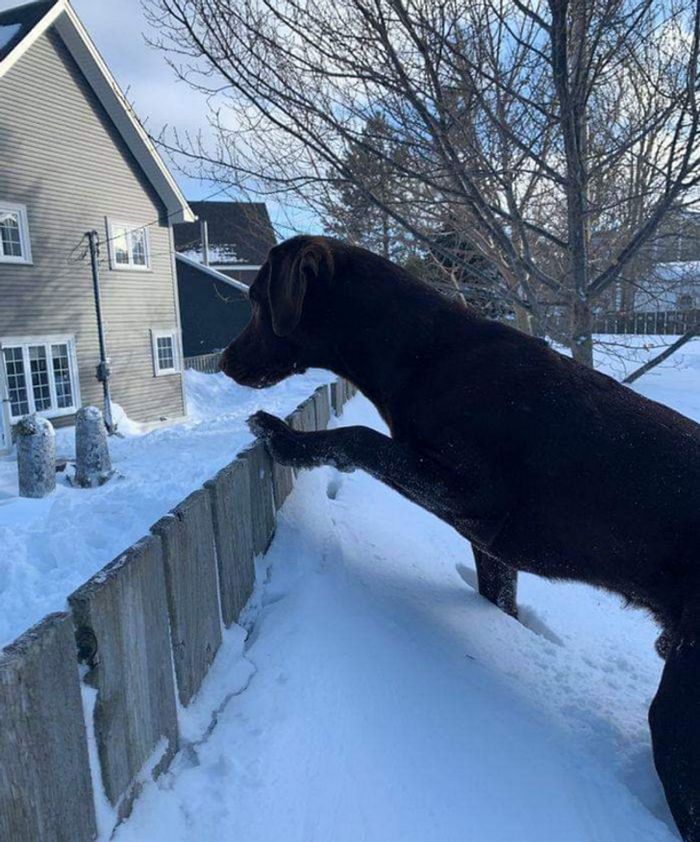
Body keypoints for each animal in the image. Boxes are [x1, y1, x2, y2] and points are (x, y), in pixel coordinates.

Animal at [223, 233, 700, 836]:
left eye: (257, 301)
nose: (223, 361)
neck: (422, 350)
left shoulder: (473, 498)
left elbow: (358, 437)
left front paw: (287, 441)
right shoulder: (492, 548)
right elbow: (498, 601)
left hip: (681, 717)